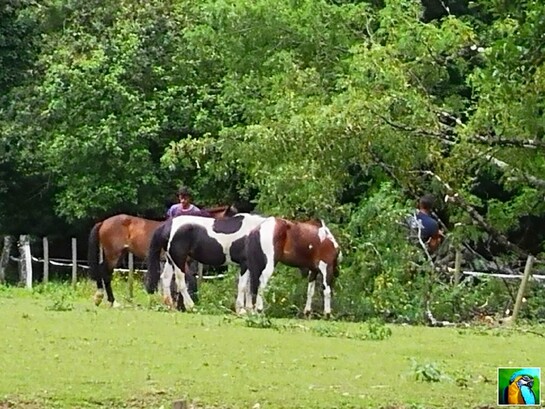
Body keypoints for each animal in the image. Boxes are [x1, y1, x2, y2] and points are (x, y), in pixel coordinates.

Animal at [87, 204, 236, 306]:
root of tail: (104, 222)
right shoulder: (180, 261)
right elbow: (190, 281)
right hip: (113, 255)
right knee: (105, 273)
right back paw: (109, 300)